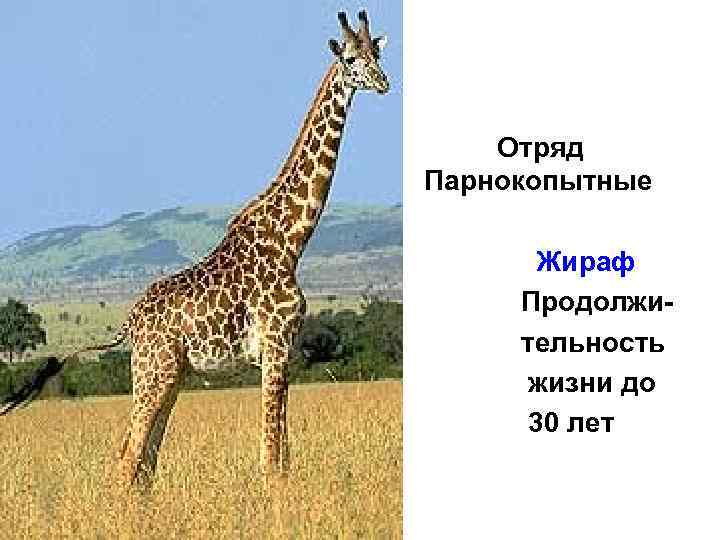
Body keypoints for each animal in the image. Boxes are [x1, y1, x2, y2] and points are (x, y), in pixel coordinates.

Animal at [1, 11, 390, 487]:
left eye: (377, 54)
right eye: (351, 59)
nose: (384, 82)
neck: (292, 240)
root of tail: (129, 323)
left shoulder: (285, 353)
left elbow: (284, 454)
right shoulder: (275, 347)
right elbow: (271, 457)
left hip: (169, 376)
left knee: (143, 463)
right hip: (154, 372)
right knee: (128, 459)